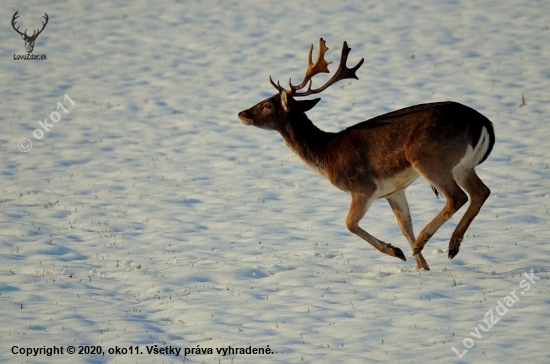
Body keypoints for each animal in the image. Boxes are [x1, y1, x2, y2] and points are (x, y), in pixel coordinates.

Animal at [239, 39, 498, 270]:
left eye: (267, 105)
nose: (242, 113)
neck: (326, 153)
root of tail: (484, 122)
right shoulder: (394, 190)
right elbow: (404, 226)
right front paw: (421, 266)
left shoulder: (363, 187)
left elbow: (349, 224)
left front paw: (397, 251)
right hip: (462, 166)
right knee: (481, 191)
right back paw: (451, 246)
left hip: (428, 158)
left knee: (457, 197)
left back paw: (427, 241)